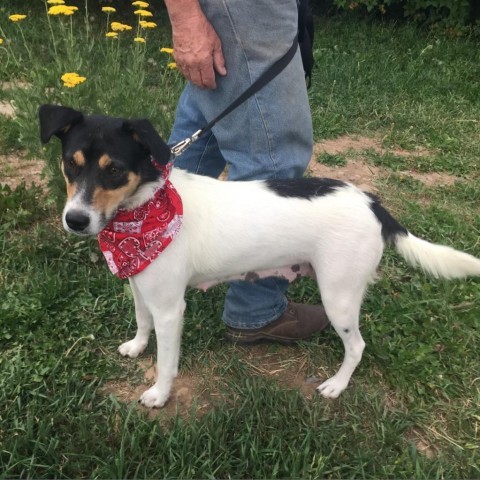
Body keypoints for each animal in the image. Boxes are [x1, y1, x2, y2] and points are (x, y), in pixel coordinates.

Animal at [38, 105, 480, 408]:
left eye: (114, 170)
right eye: (70, 164)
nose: (75, 220)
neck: (144, 207)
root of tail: (373, 203)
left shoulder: (170, 308)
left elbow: (166, 361)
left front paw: (160, 394)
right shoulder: (141, 285)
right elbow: (141, 322)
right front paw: (136, 346)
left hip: (338, 296)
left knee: (357, 346)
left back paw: (336, 385)